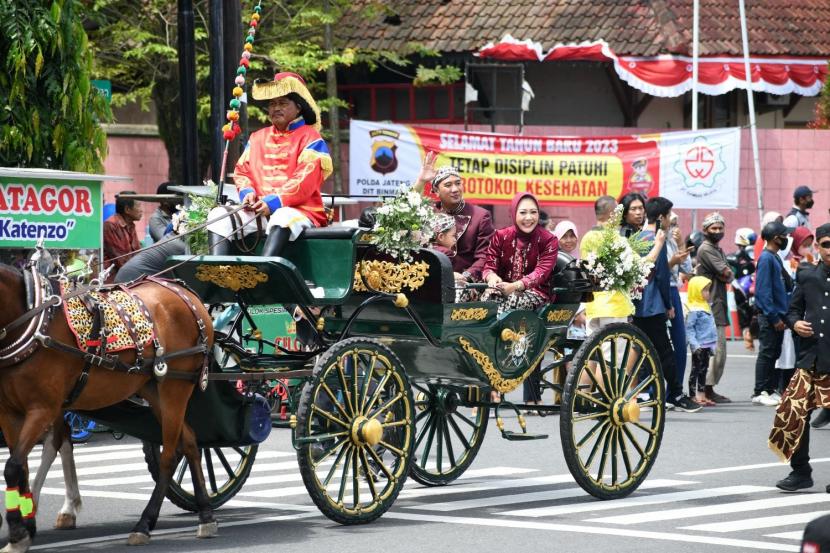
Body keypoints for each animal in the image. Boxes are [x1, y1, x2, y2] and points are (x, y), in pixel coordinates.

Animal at [0, 260, 218, 548]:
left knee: (170, 456)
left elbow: (14, 466)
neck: (30, 320)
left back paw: (144, 524)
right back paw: (206, 515)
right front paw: (24, 526)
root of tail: (186, 294)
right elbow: (21, 466)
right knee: (191, 443)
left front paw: (17, 532)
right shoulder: (9, 412)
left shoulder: (42, 409)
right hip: (154, 389)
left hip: (175, 387)